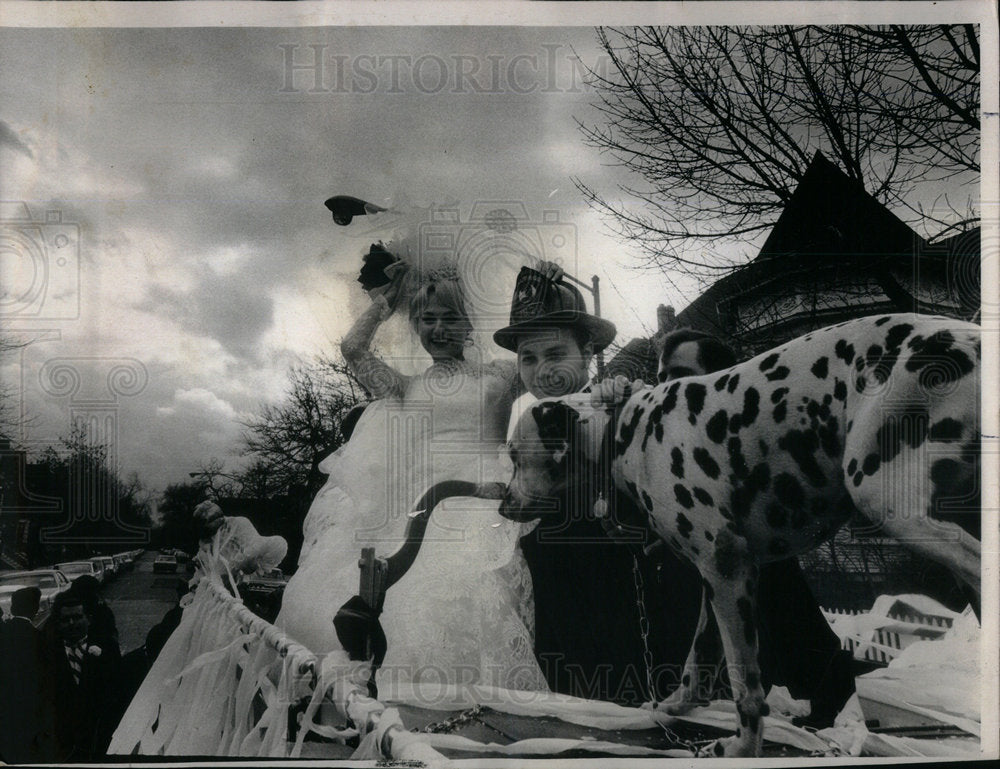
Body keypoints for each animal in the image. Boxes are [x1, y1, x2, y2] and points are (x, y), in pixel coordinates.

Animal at [500, 314, 976, 756]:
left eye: (515, 455)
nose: (503, 505)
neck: (625, 431)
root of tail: (967, 336)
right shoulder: (716, 583)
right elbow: (698, 659)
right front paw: (676, 706)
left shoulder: (727, 569)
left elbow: (745, 683)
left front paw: (744, 748)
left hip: (890, 501)